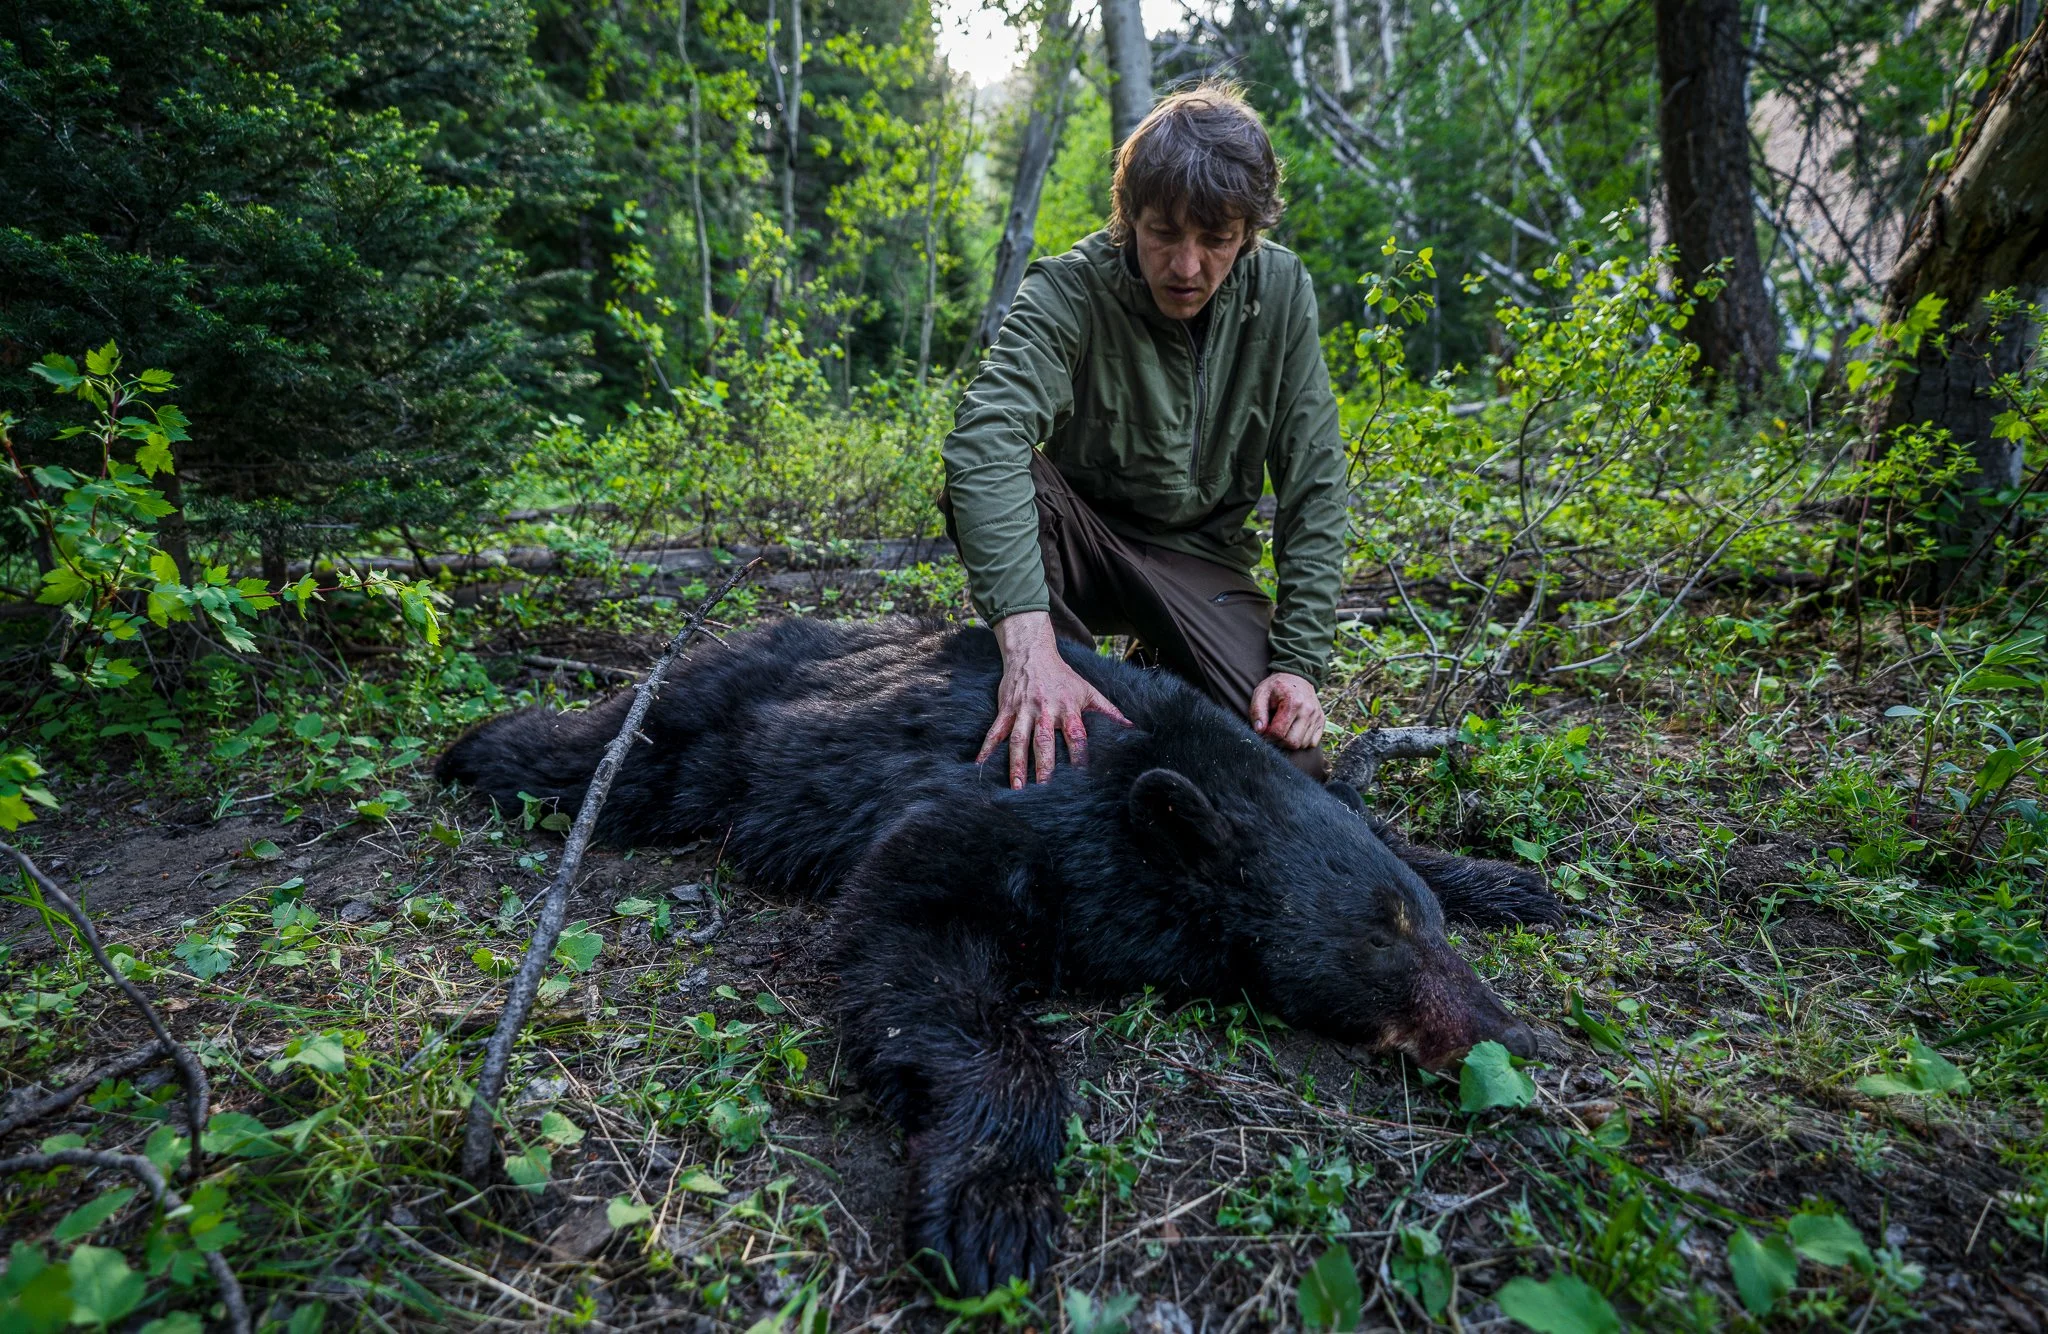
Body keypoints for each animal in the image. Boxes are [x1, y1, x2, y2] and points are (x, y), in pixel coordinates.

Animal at [437, 616, 1560, 1294]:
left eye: (1426, 922)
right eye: (1384, 936)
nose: (1513, 1037)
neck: (1154, 788)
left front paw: (1506, 880)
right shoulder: (1001, 816)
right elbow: (919, 948)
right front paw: (992, 1206)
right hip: (711, 722)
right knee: (617, 754)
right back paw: (482, 745)